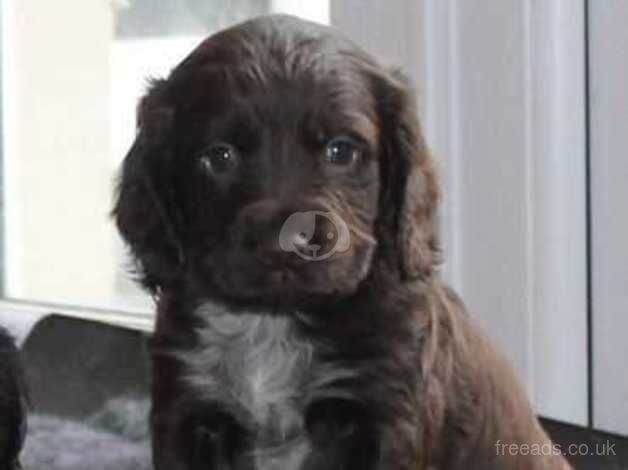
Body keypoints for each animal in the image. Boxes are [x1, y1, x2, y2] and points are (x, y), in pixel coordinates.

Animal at [115, 14, 572, 470]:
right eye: (219, 156)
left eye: (341, 150)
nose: (286, 241)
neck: (273, 322)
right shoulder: (186, 407)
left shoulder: (386, 411)